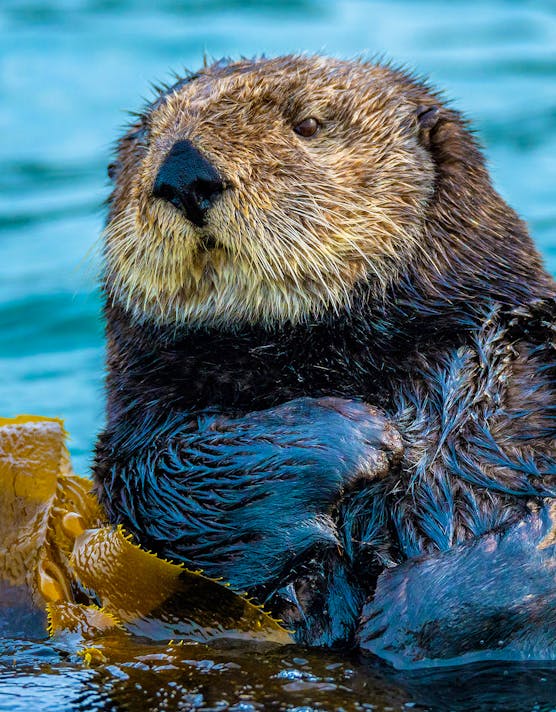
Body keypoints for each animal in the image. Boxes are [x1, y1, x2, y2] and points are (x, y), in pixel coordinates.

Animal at [93, 55, 552, 660]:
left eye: (307, 124)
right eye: (148, 138)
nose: (184, 172)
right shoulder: (139, 441)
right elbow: (164, 486)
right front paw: (364, 437)